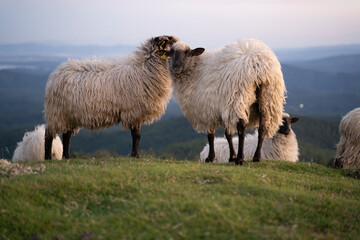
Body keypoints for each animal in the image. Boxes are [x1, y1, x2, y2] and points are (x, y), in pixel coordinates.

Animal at [44, 35, 179, 159]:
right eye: (170, 44)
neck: (144, 70)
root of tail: (56, 73)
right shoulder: (134, 111)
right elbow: (136, 135)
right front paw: (135, 155)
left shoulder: (137, 112)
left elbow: (137, 135)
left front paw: (135, 154)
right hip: (56, 112)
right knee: (49, 135)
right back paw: (48, 158)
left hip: (70, 114)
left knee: (67, 136)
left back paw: (66, 157)